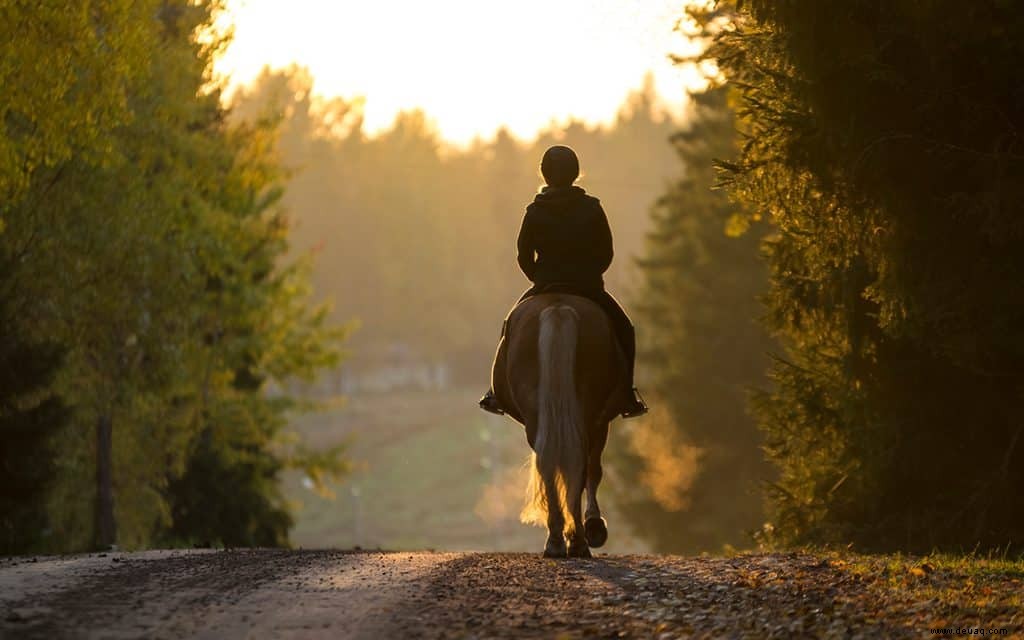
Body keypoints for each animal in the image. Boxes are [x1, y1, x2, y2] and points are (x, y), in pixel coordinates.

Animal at [491, 292, 626, 557]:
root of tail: (558, 308)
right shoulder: (602, 421)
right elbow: (594, 471)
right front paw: (593, 525)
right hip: (589, 413)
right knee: (581, 466)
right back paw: (578, 541)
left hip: (538, 414)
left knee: (549, 464)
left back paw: (556, 541)